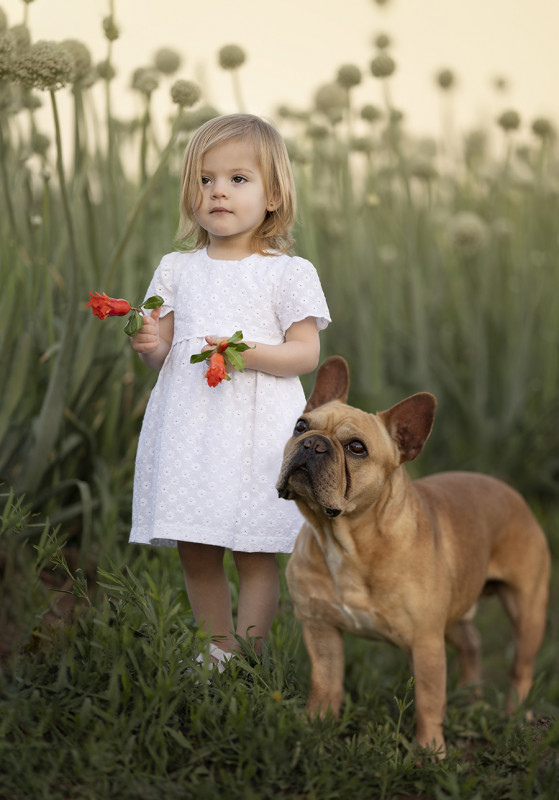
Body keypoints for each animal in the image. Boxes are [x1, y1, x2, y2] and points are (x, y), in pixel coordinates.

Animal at [278, 356, 548, 756]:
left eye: (356, 448)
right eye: (300, 426)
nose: (313, 444)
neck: (347, 541)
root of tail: (512, 493)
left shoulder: (425, 643)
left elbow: (428, 701)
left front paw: (430, 752)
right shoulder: (320, 627)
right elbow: (325, 683)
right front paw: (315, 726)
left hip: (526, 612)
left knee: (521, 668)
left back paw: (516, 714)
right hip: (454, 615)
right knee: (472, 644)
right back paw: (470, 694)